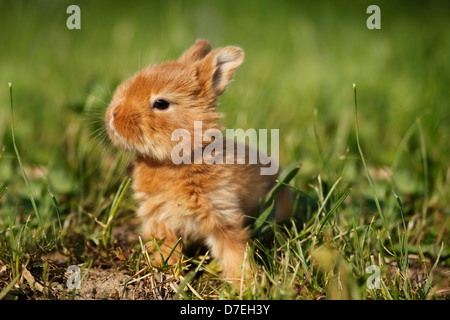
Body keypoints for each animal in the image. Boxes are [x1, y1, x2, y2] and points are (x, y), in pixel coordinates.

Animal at [105, 40, 292, 282]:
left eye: (161, 103)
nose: (113, 114)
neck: (177, 160)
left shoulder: (221, 212)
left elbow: (233, 251)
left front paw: (247, 283)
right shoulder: (159, 219)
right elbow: (166, 247)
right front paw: (166, 270)